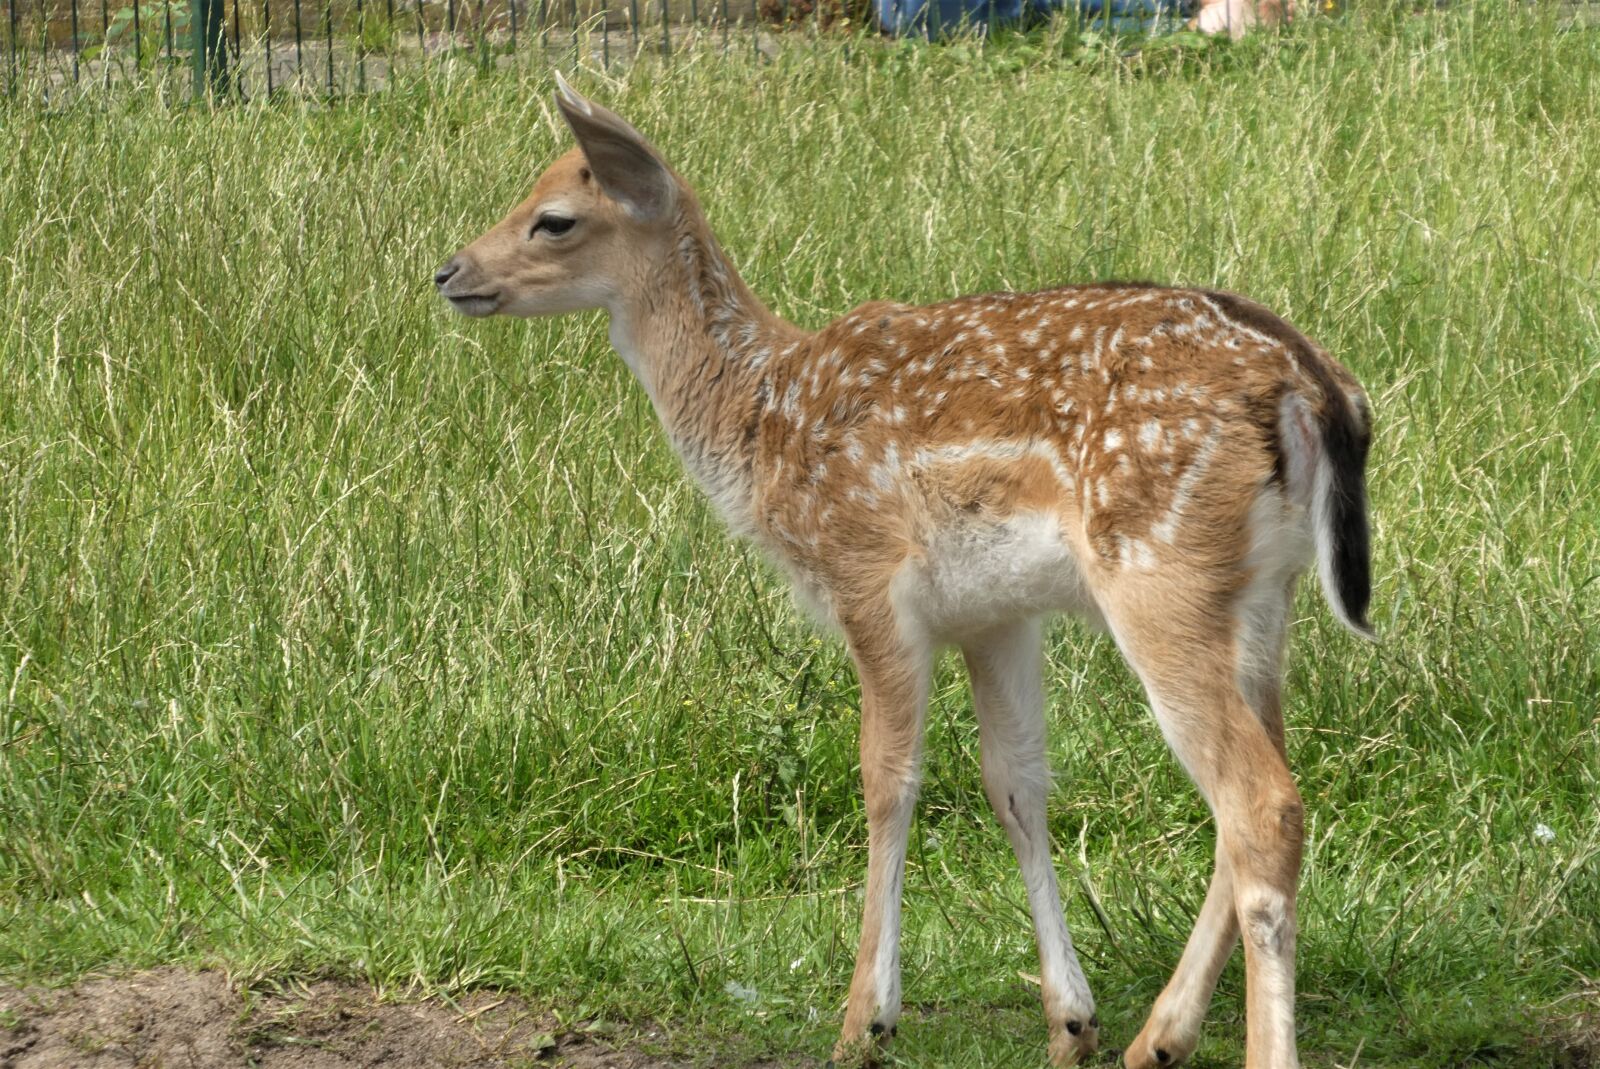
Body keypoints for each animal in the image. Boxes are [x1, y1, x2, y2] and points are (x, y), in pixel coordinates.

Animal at [434, 73, 1375, 1069]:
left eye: (554, 219)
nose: (449, 273)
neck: (763, 419)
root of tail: (1316, 386)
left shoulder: (866, 575)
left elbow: (887, 779)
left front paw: (865, 1018)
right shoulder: (998, 613)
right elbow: (1016, 785)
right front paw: (1070, 1020)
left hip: (1159, 568)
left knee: (1261, 802)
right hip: (1261, 595)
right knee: (1258, 793)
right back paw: (1155, 1037)